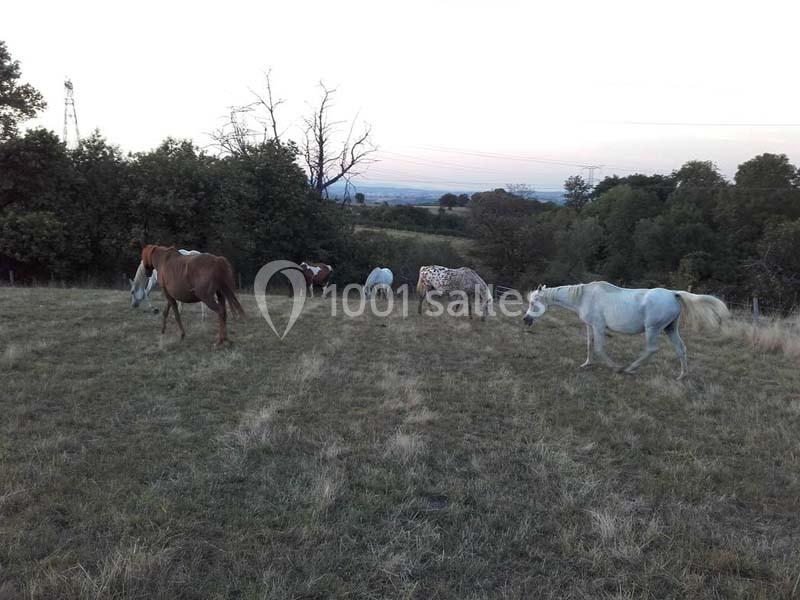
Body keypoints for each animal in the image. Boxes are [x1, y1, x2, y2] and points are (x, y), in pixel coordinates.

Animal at [523, 281, 729, 380]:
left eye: (534, 302)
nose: (526, 320)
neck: (584, 297)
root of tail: (673, 294)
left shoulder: (598, 326)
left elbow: (599, 348)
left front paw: (616, 367)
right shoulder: (590, 326)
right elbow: (590, 345)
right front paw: (586, 364)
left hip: (653, 329)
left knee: (651, 350)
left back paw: (629, 369)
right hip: (670, 329)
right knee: (681, 349)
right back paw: (681, 376)